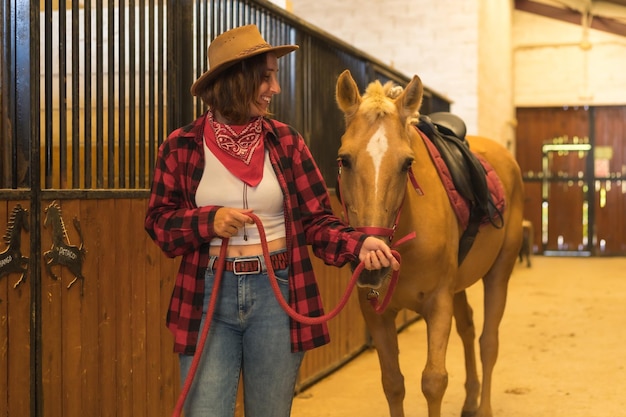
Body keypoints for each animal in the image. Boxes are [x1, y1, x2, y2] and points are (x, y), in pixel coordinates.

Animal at [334, 69, 524, 416]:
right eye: (345, 159)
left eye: (407, 163)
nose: (373, 264)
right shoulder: (375, 310)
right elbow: (393, 382)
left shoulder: (438, 303)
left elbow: (434, 381)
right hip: (459, 285)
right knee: (469, 328)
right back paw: (470, 400)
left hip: (499, 273)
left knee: (488, 342)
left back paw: (484, 407)